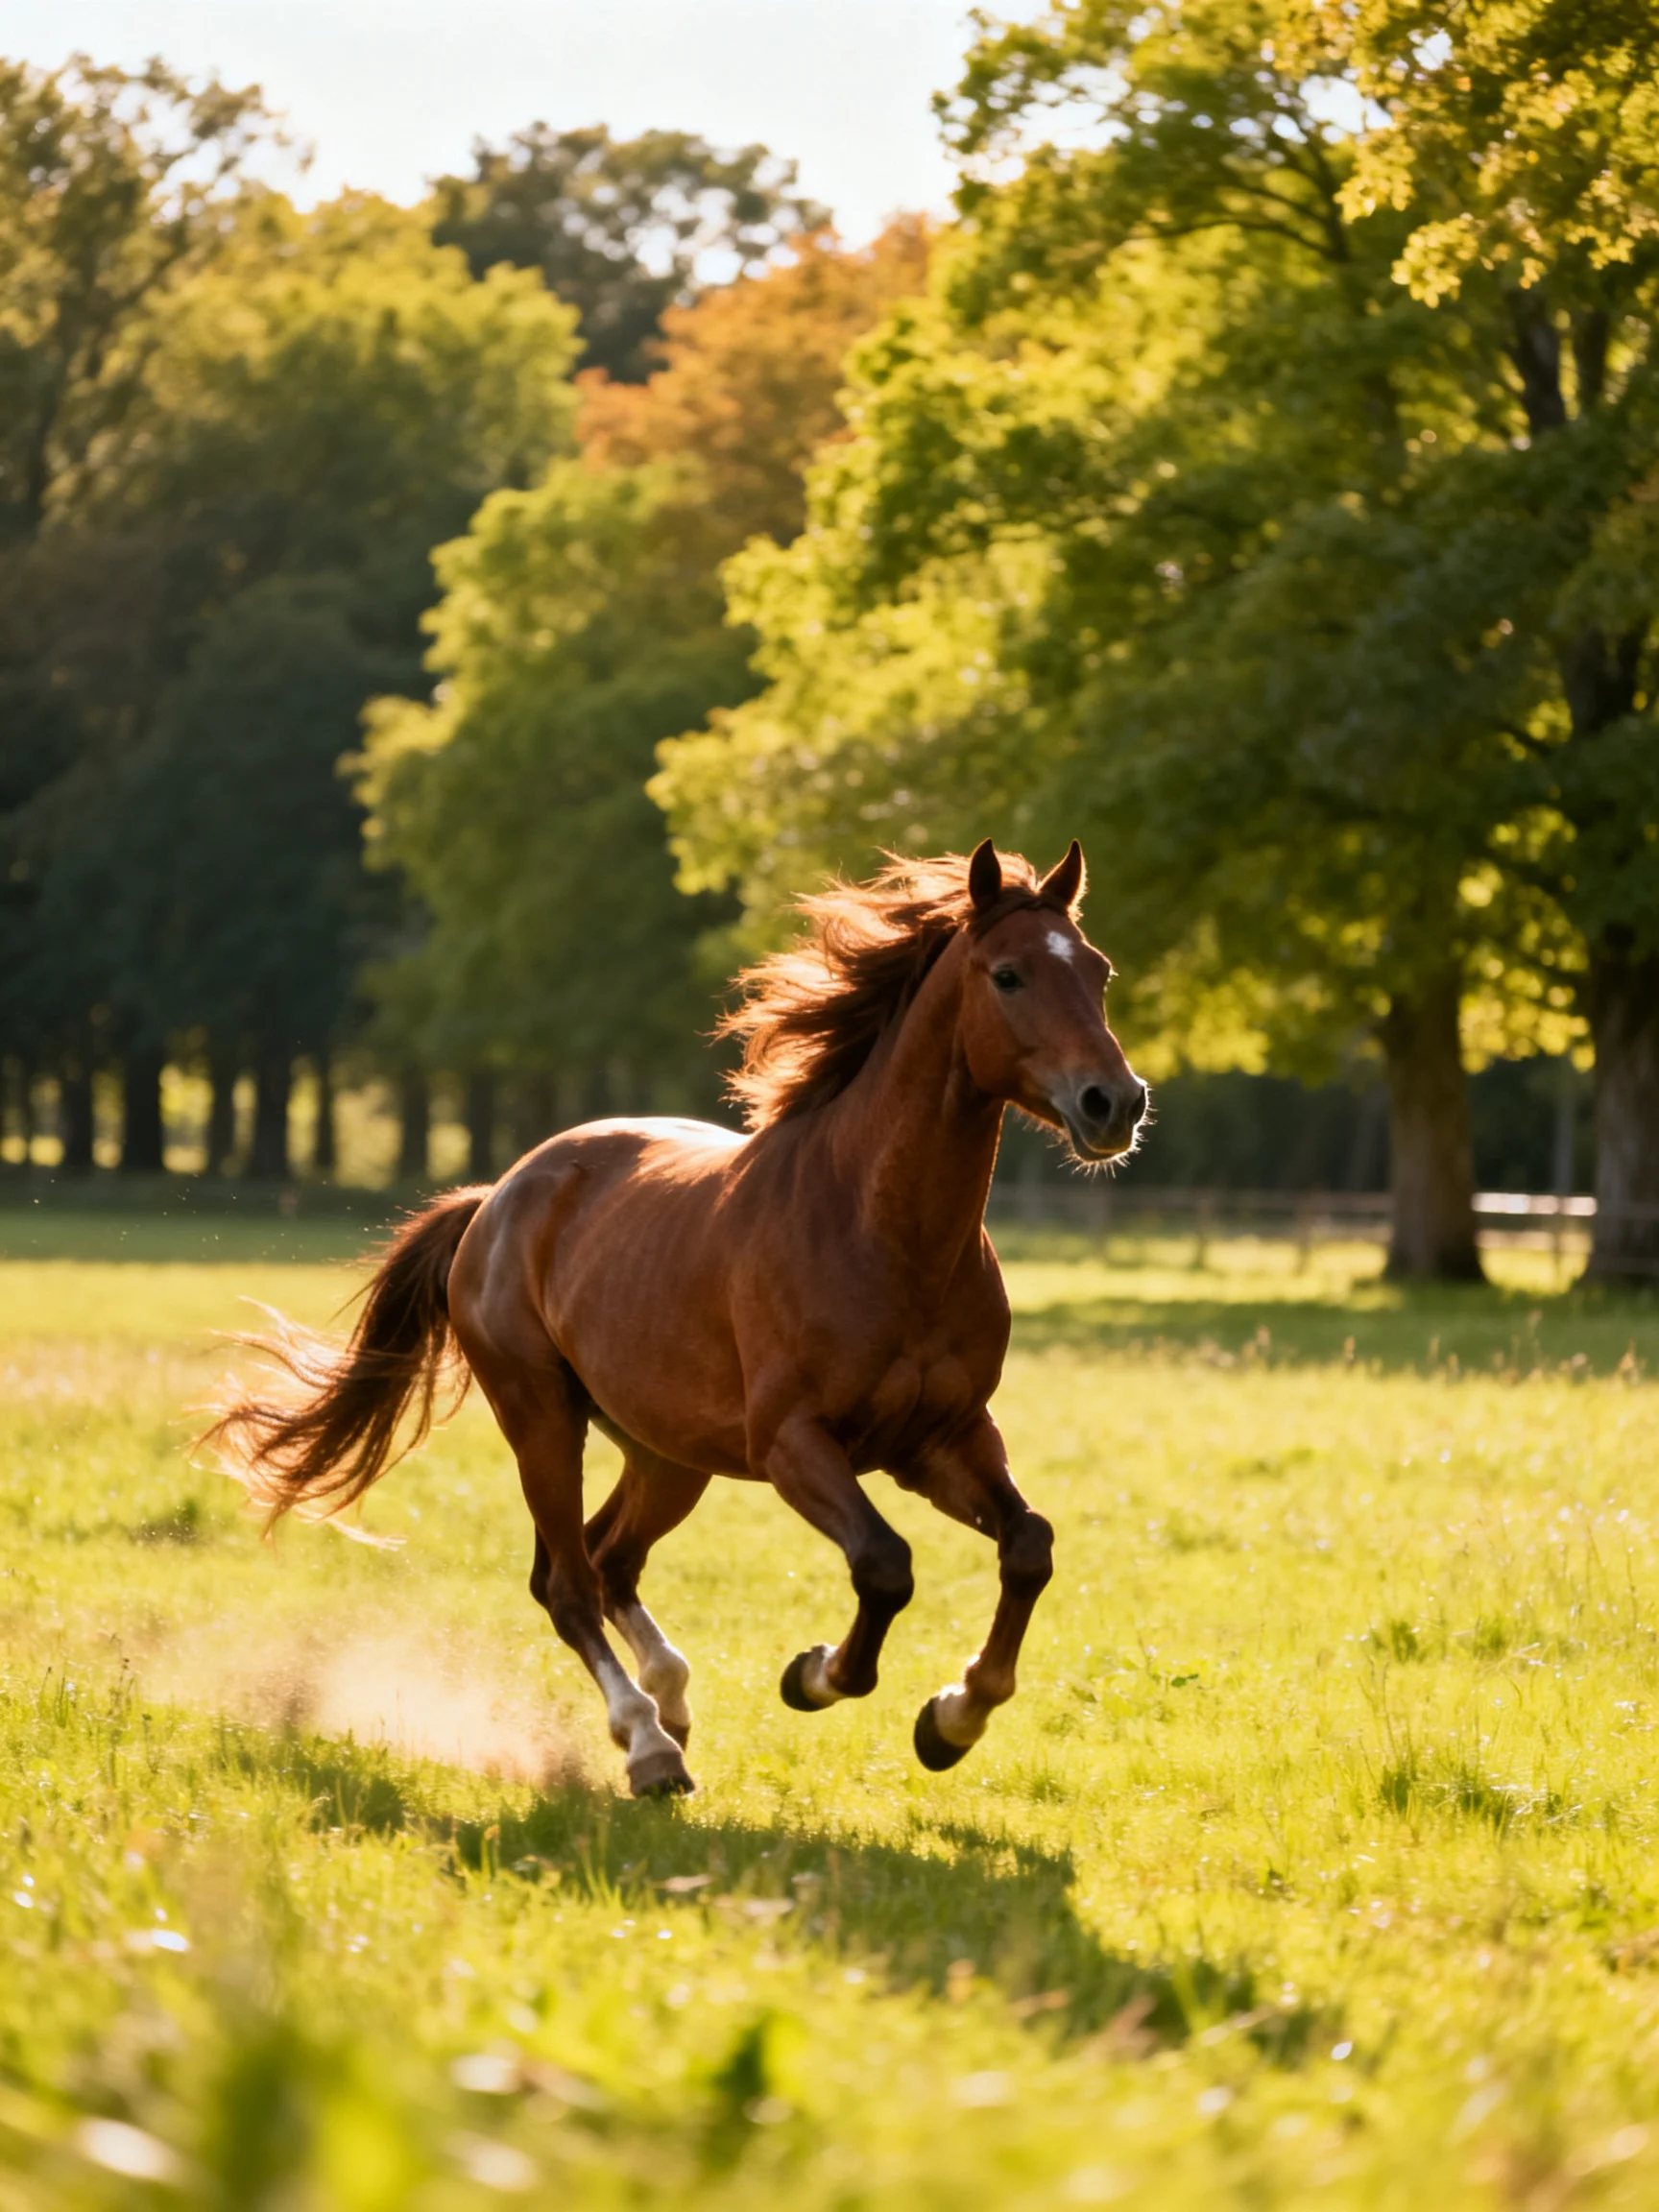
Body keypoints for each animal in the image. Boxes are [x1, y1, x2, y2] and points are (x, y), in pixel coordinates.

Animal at [205, 839, 1147, 1796]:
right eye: (1008, 975)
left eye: (1098, 970)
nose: (1115, 1102)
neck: (880, 1230)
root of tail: (497, 1197)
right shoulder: (795, 1444)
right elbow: (885, 1567)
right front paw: (814, 1676)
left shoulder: (942, 1438)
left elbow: (1028, 1545)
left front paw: (953, 1720)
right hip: (543, 1420)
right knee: (568, 1582)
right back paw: (650, 1746)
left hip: (667, 1453)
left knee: (604, 1559)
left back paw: (671, 1704)